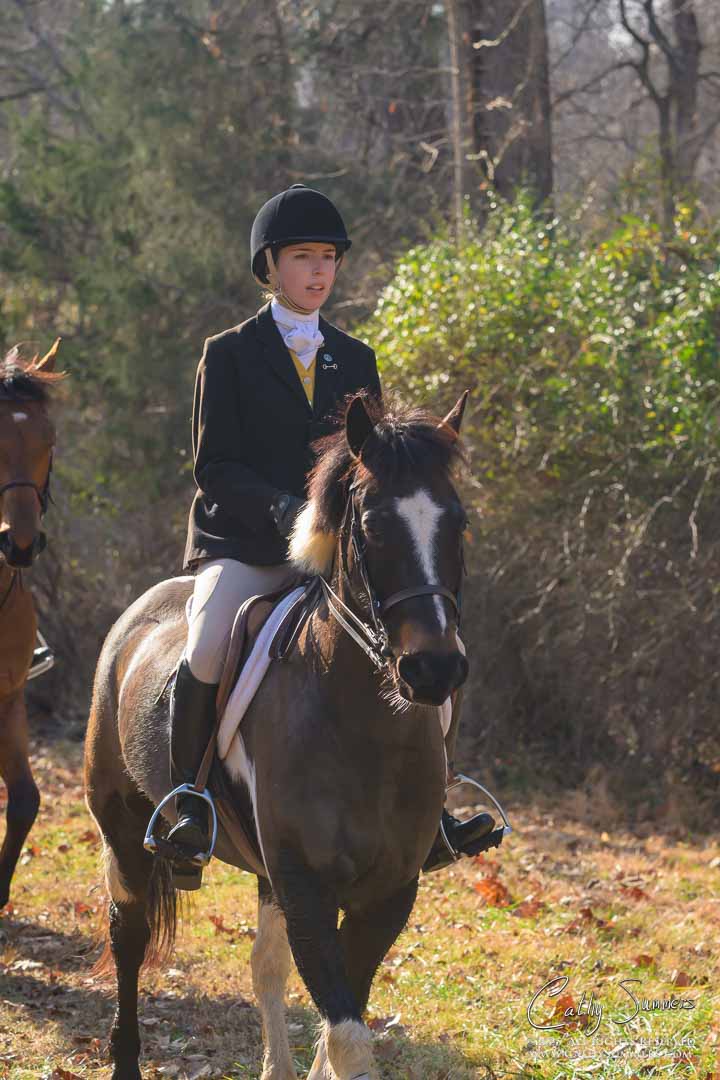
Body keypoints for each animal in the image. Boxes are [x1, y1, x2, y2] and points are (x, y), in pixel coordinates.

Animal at [85, 391, 472, 1080]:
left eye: (456, 523)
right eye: (371, 526)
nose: (433, 670)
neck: (368, 734)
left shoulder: (387, 893)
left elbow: (339, 1019)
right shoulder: (307, 885)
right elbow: (346, 1037)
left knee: (265, 967)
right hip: (123, 828)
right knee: (128, 938)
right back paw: (125, 1057)